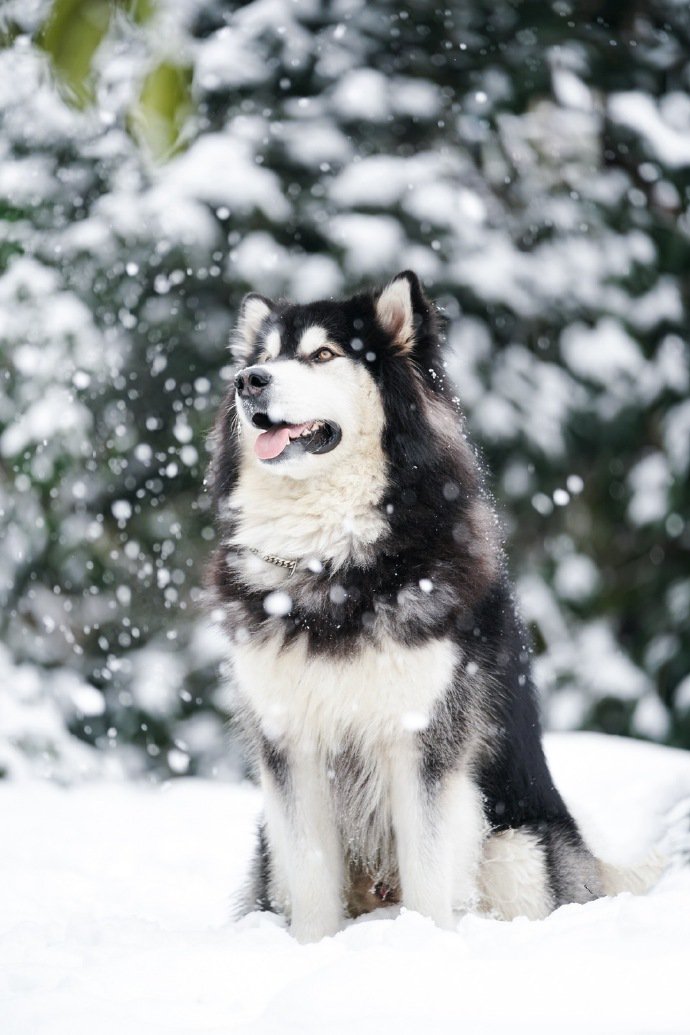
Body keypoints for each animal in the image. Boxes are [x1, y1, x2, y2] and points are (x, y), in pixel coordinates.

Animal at [206, 271, 662, 943]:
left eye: (323, 354)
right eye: (261, 357)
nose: (249, 382)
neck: (333, 567)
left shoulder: (422, 739)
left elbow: (427, 868)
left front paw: (423, 944)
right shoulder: (291, 743)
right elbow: (313, 878)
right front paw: (315, 949)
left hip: (513, 845)